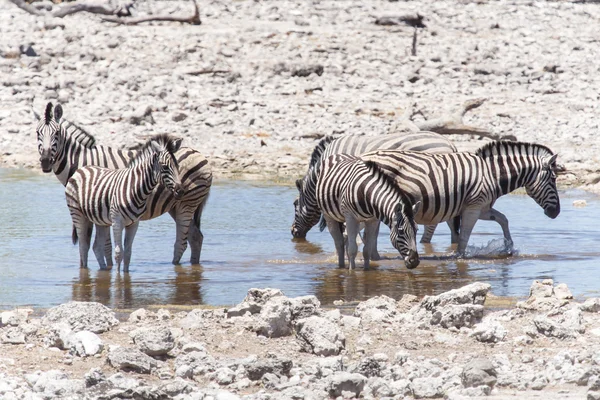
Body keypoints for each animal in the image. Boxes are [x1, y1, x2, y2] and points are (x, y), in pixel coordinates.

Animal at [65, 135, 183, 272]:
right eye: (164, 167)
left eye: (177, 166)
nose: (180, 191)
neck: (135, 188)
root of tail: (81, 169)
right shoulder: (117, 221)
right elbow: (118, 252)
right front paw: (118, 276)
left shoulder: (134, 223)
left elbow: (127, 253)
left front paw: (125, 274)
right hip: (77, 214)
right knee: (83, 247)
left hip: (100, 221)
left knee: (96, 247)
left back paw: (104, 270)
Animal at [360, 142, 564, 255]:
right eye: (553, 180)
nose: (556, 213)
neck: (491, 174)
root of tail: (363, 155)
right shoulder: (473, 207)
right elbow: (464, 238)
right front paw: (459, 258)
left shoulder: (480, 208)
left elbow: (503, 219)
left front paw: (509, 248)